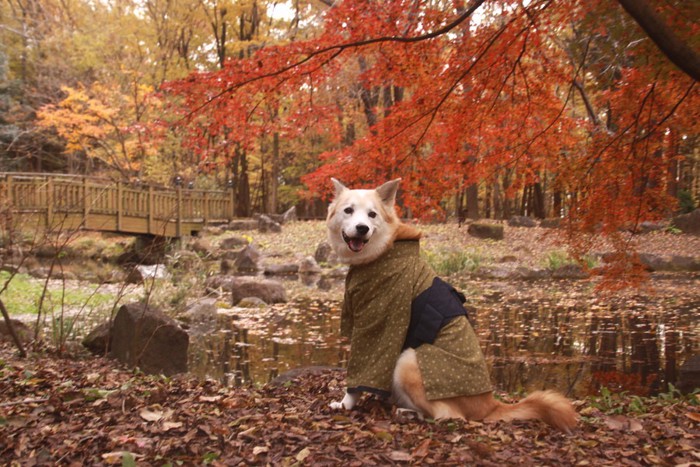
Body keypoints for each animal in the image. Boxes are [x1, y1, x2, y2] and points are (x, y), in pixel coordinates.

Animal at [326, 178, 576, 432]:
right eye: (348, 210)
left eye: (372, 214)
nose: (362, 228)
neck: (384, 250)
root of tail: (490, 405)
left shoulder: (379, 325)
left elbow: (361, 371)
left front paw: (346, 404)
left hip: (408, 361)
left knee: (448, 416)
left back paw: (407, 412)